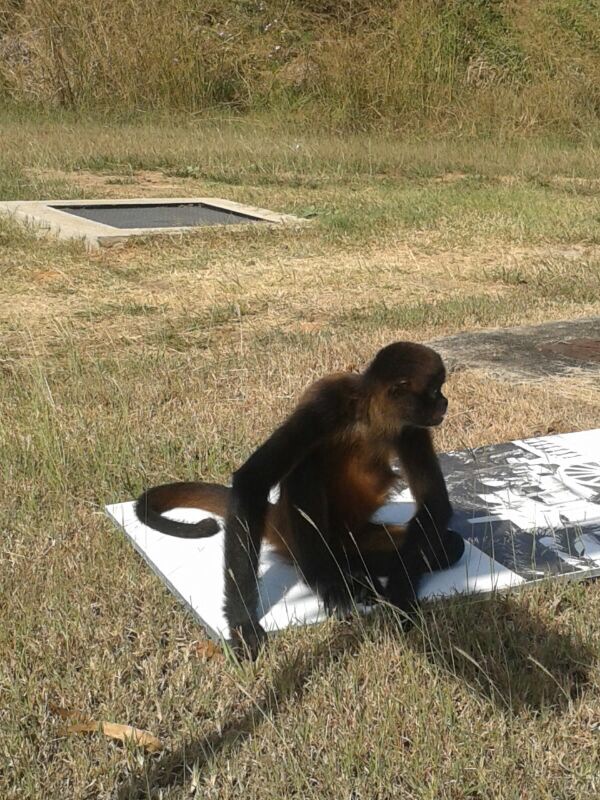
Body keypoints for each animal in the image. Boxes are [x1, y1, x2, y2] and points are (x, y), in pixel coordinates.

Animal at [136, 340, 464, 656]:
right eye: (435, 391)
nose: (445, 402)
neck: (369, 420)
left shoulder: (411, 428)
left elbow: (434, 505)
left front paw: (400, 595)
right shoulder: (326, 405)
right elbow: (252, 480)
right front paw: (243, 623)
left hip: (358, 536)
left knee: (451, 546)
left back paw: (357, 573)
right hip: (302, 538)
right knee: (307, 463)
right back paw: (327, 578)